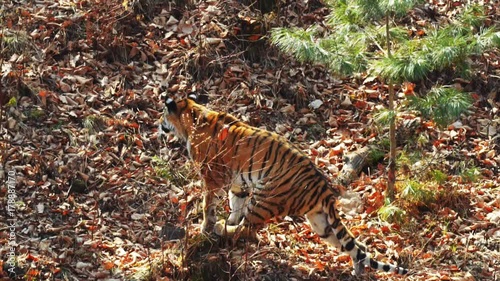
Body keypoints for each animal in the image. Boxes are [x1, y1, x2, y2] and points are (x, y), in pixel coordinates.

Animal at [158, 93, 408, 274]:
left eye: (162, 116)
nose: (157, 125)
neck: (192, 116)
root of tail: (323, 187)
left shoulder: (213, 177)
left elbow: (208, 205)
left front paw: (206, 228)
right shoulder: (238, 182)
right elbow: (235, 203)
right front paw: (228, 219)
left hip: (266, 197)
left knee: (248, 230)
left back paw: (222, 229)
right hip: (320, 222)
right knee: (357, 247)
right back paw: (358, 270)